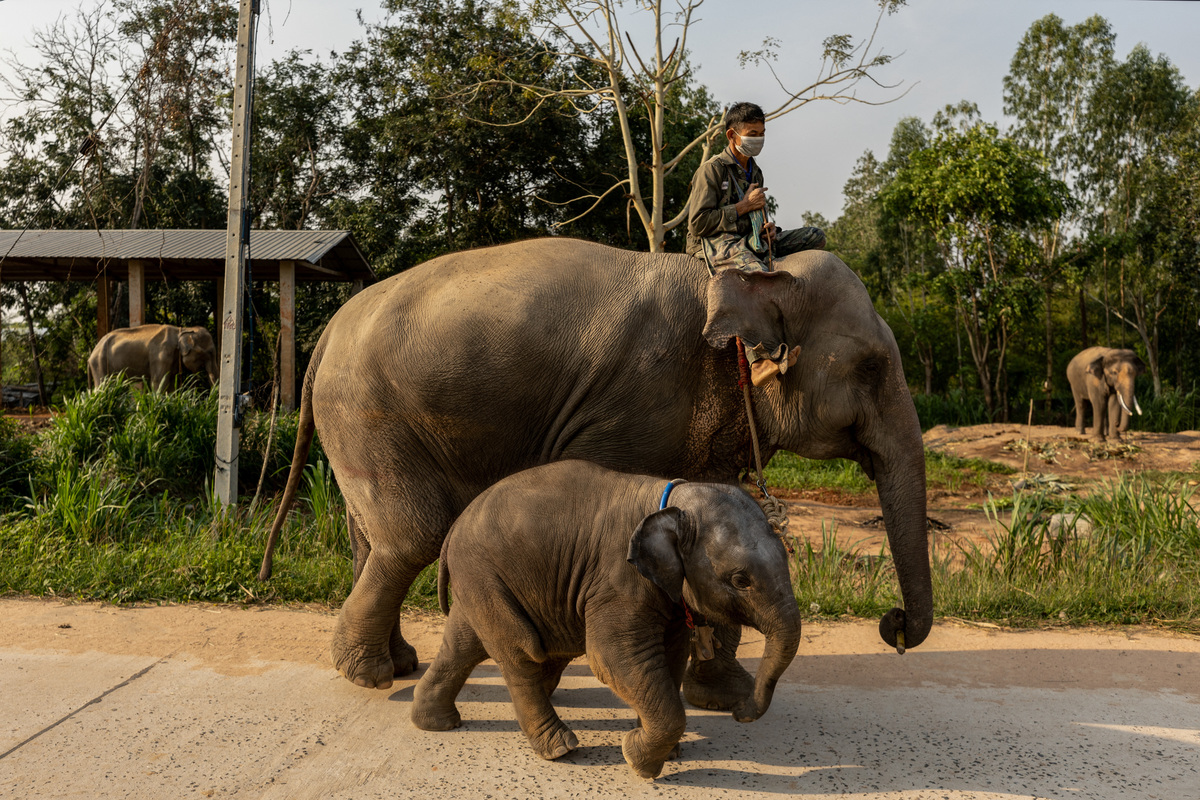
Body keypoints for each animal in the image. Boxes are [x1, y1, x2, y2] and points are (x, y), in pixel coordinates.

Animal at [87, 324, 219, 391]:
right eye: (209, 352)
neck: (182, 330)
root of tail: (90, 356)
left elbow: (170, 383)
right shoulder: (161, 355)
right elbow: (159, 381)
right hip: (99, 363)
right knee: (103, 385)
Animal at [259, 238, 931, 710]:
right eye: (872, 367)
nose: (893, 626)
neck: (743, 272)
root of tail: (327, 332)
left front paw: (722, 698)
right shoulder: (637, 405)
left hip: (361, 427)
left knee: (373, 538)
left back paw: (397, 663)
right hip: (369, 414)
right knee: (412, 537)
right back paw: (370, 675)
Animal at [411, 460, 801, 779]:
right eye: (740, 580)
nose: (739, 713)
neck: (670, 503)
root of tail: (453, 531)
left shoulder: (667, 593)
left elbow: (671, 655)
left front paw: (666, 752)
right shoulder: (618, 580)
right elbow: (611, 658)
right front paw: (638, 760)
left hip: (481, 581)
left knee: (465, 644)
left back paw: (435, 723)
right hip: (485, 577)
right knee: (520, 651)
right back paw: (560, 748)